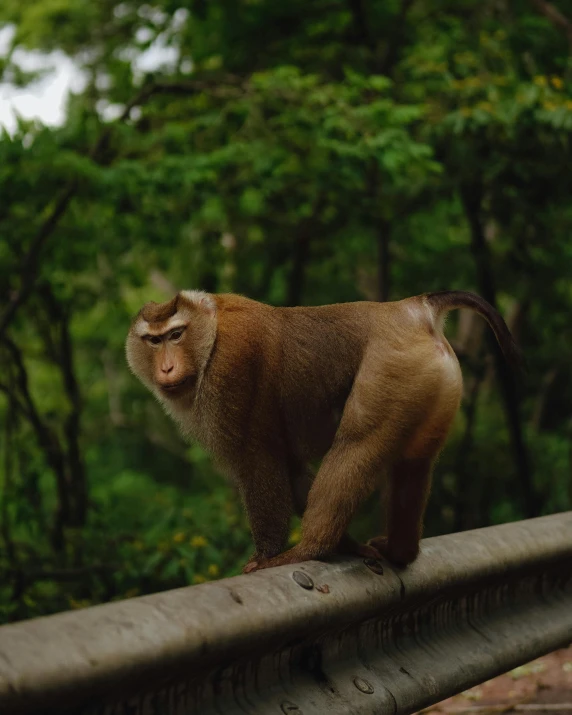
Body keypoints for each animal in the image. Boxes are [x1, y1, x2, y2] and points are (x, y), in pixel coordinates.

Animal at [126, 288, 520, 572]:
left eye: (176, 334)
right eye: (154, 341)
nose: (166, 368)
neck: (211, 334)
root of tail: (412, 309)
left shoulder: (233, 367)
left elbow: (259, 458)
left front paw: (267, 553)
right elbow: (291, 467)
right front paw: (351, 545)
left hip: (392, 369)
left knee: (357, 444)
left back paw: (310, 548)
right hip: (431, 382)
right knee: (415, 464)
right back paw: (401, 552)